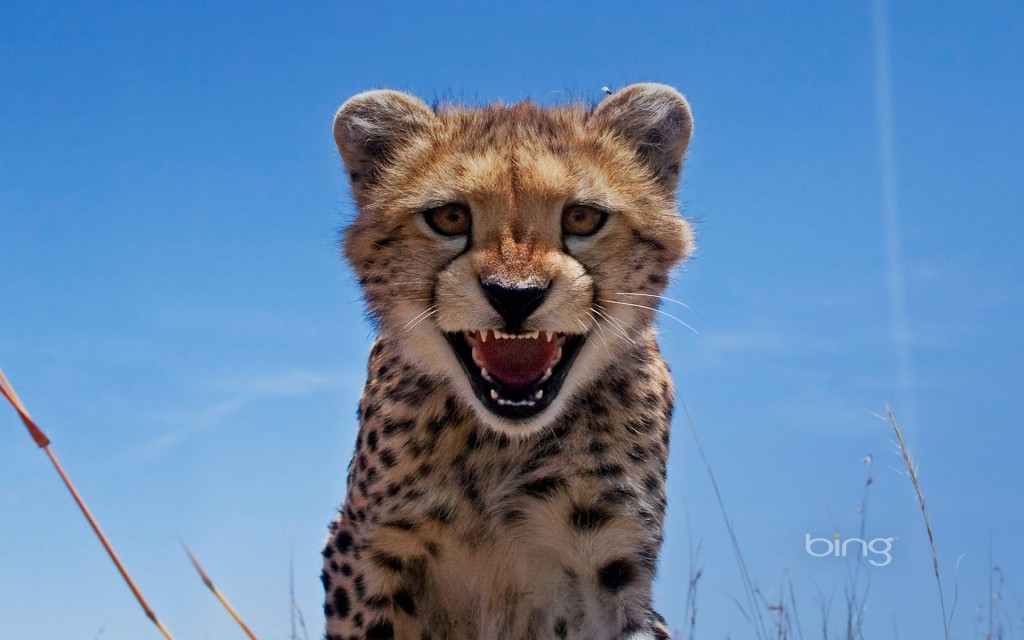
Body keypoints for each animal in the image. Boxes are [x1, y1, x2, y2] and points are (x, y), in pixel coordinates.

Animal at [325, 84, 696, 638]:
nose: (515, 295)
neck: (502, 445)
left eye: (582, 218)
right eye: (450, 218)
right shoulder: (367, 549)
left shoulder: (614, 563)